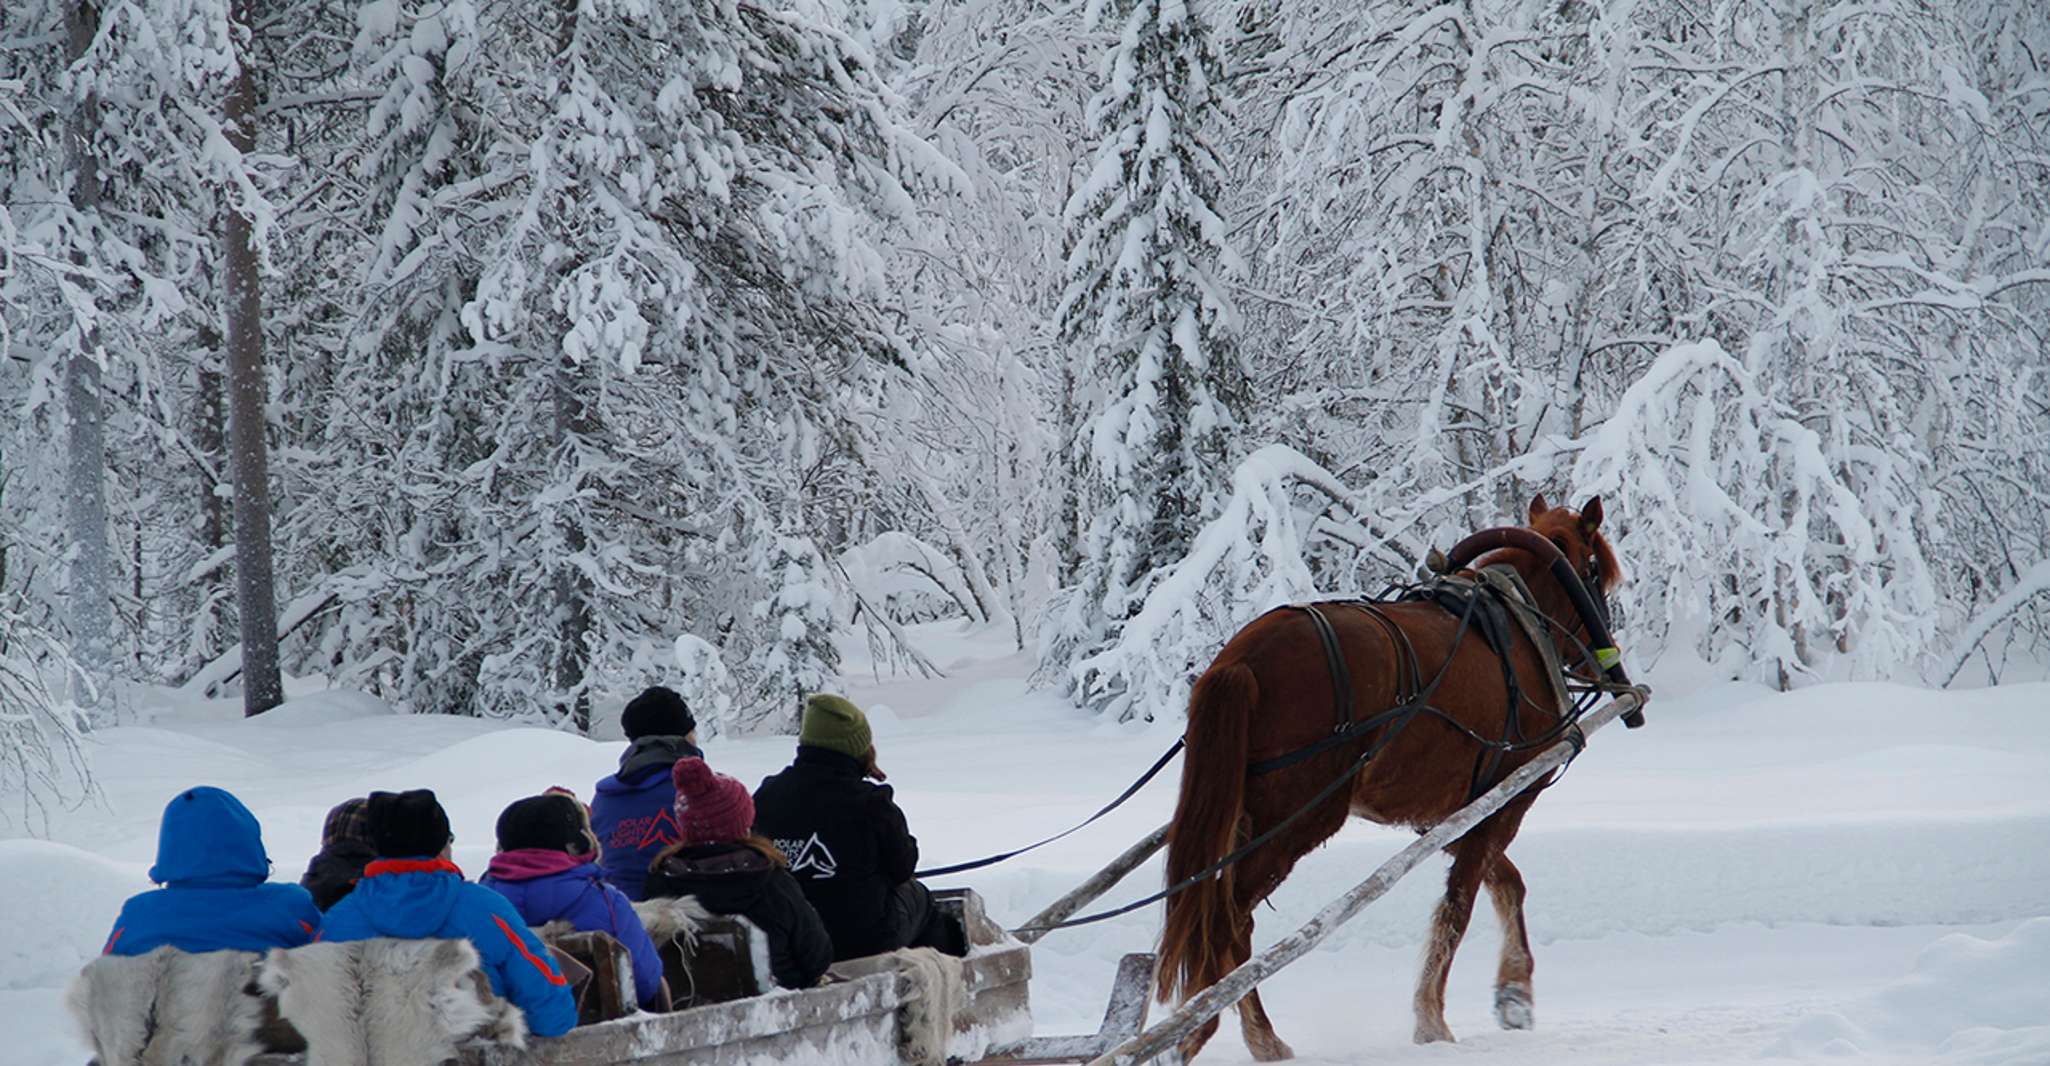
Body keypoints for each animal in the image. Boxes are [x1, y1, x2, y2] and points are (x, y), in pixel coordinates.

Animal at [1155, 494, 1624, 1061]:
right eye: (1594, 573)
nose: (1605, 657)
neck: (1519, 626)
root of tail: (1241, 661)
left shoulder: (1451, 814)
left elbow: (1508, 884)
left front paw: (1514, 993)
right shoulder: (1507, 799)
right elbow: (1458, 908)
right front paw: (1432, 1022)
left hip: (1243, 815)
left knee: (1214, 917)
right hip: (1297, 821)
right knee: (1229, 924)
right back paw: (1251, 1038)